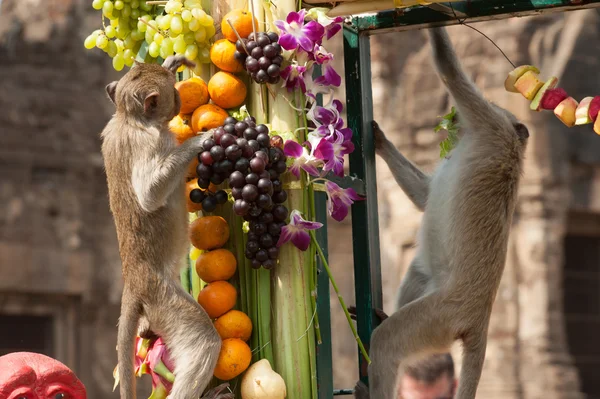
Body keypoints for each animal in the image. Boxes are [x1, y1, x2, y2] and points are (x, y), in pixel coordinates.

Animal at [101, 56, 225, 399]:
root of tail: (132, 280)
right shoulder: (150, 143)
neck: (129, 120)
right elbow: (150, 194)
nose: (181, 99)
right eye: (172, 93)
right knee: (203, 342)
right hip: (161, 297)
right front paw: (199, 141)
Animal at [354, 26, 528, 398]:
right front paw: (381, 140)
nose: (451, 116)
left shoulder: (490, 124)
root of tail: (480, 320)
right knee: (418, 273)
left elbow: (451, 72)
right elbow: (424, 196)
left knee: (388, 340)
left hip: (441, 316)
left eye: (494, 101)